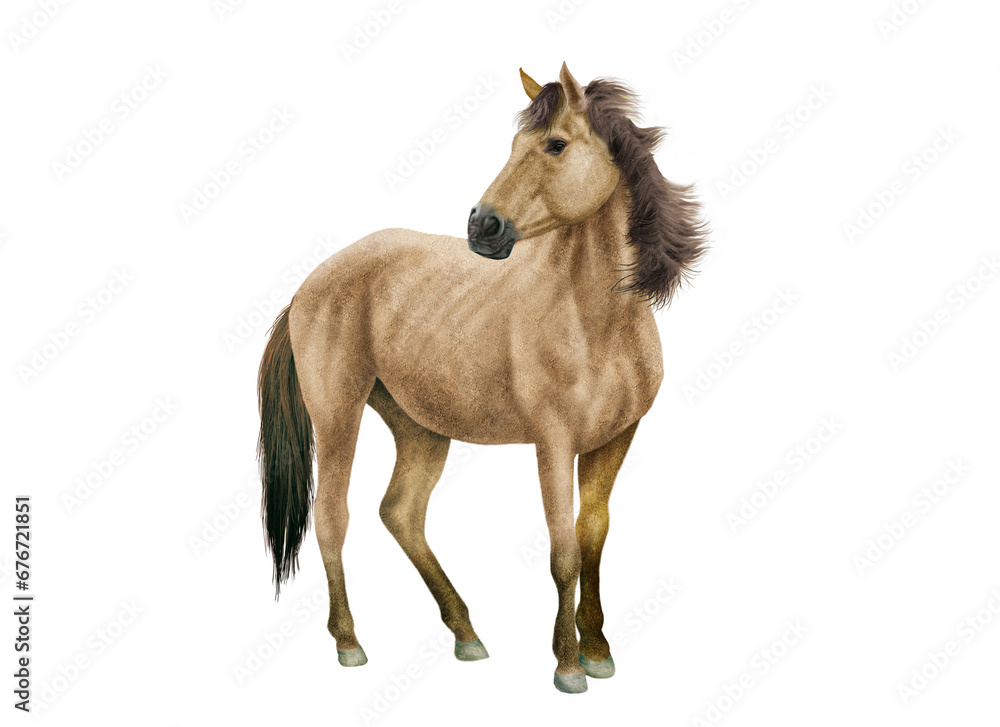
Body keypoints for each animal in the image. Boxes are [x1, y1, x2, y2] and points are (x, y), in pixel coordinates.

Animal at [257, 62, 707, 694]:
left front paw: (598, 650)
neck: (594, 320)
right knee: (332, 517)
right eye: (514, 145)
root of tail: (309, 285)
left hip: (420, 427)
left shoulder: (615, 440)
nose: (482, 226)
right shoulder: (554, 443)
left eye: (555, 144)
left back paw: (466, 634)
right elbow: (563, 550)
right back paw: (349, 642)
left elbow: (592, 538)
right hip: (338, 412)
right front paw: (568, 666)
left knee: (401, 513)